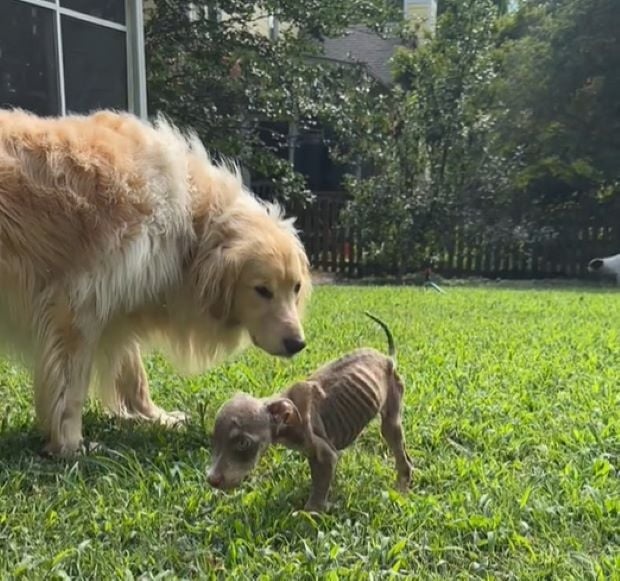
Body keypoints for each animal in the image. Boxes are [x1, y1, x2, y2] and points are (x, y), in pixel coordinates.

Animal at [206, 312, 414, 512]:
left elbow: (317, 494)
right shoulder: (312, 453)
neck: (287, 420)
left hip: (391, 416)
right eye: (215, 439)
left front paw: (310, 513)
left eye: (243, 443)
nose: (211, 480)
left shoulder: (326, 454)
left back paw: (401, 489)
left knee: (401, 455)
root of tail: (387, 359)